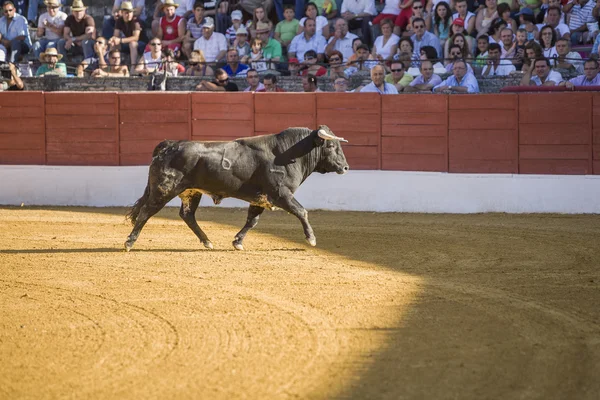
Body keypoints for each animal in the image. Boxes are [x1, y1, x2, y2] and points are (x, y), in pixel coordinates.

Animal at [125, 125, 352, 250]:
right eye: (332, 146)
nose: (345, 167)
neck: (288, 153)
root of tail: (169, 145)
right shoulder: (281, 194)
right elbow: (302, 211)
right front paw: (311, 239)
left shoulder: (260, 198)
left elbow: (252, 221)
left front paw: (237, 242)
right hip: (164, 189)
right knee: (146, 211)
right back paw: (129, 242)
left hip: (191, 192)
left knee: (187, 215)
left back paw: (207, 241)